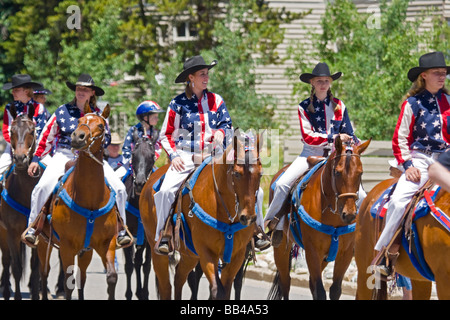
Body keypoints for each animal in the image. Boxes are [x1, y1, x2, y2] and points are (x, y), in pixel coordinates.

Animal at [141, 131, 264, 300]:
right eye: (237, 174)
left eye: (260, 174)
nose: (248, 217)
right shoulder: (207, 253)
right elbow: (217, 290)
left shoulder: (237, 255)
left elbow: (226, 289)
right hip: (157, 252)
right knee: (166, 286)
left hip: (190, 255)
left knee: (179, 277)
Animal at [268, 137, 370, 300]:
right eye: (337, 172)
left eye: (360, 173)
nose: (349, 214)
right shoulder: (313, 252)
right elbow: (320, 290)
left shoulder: (345, 253)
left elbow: (335, 289)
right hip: (282, 247)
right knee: (285, 282)